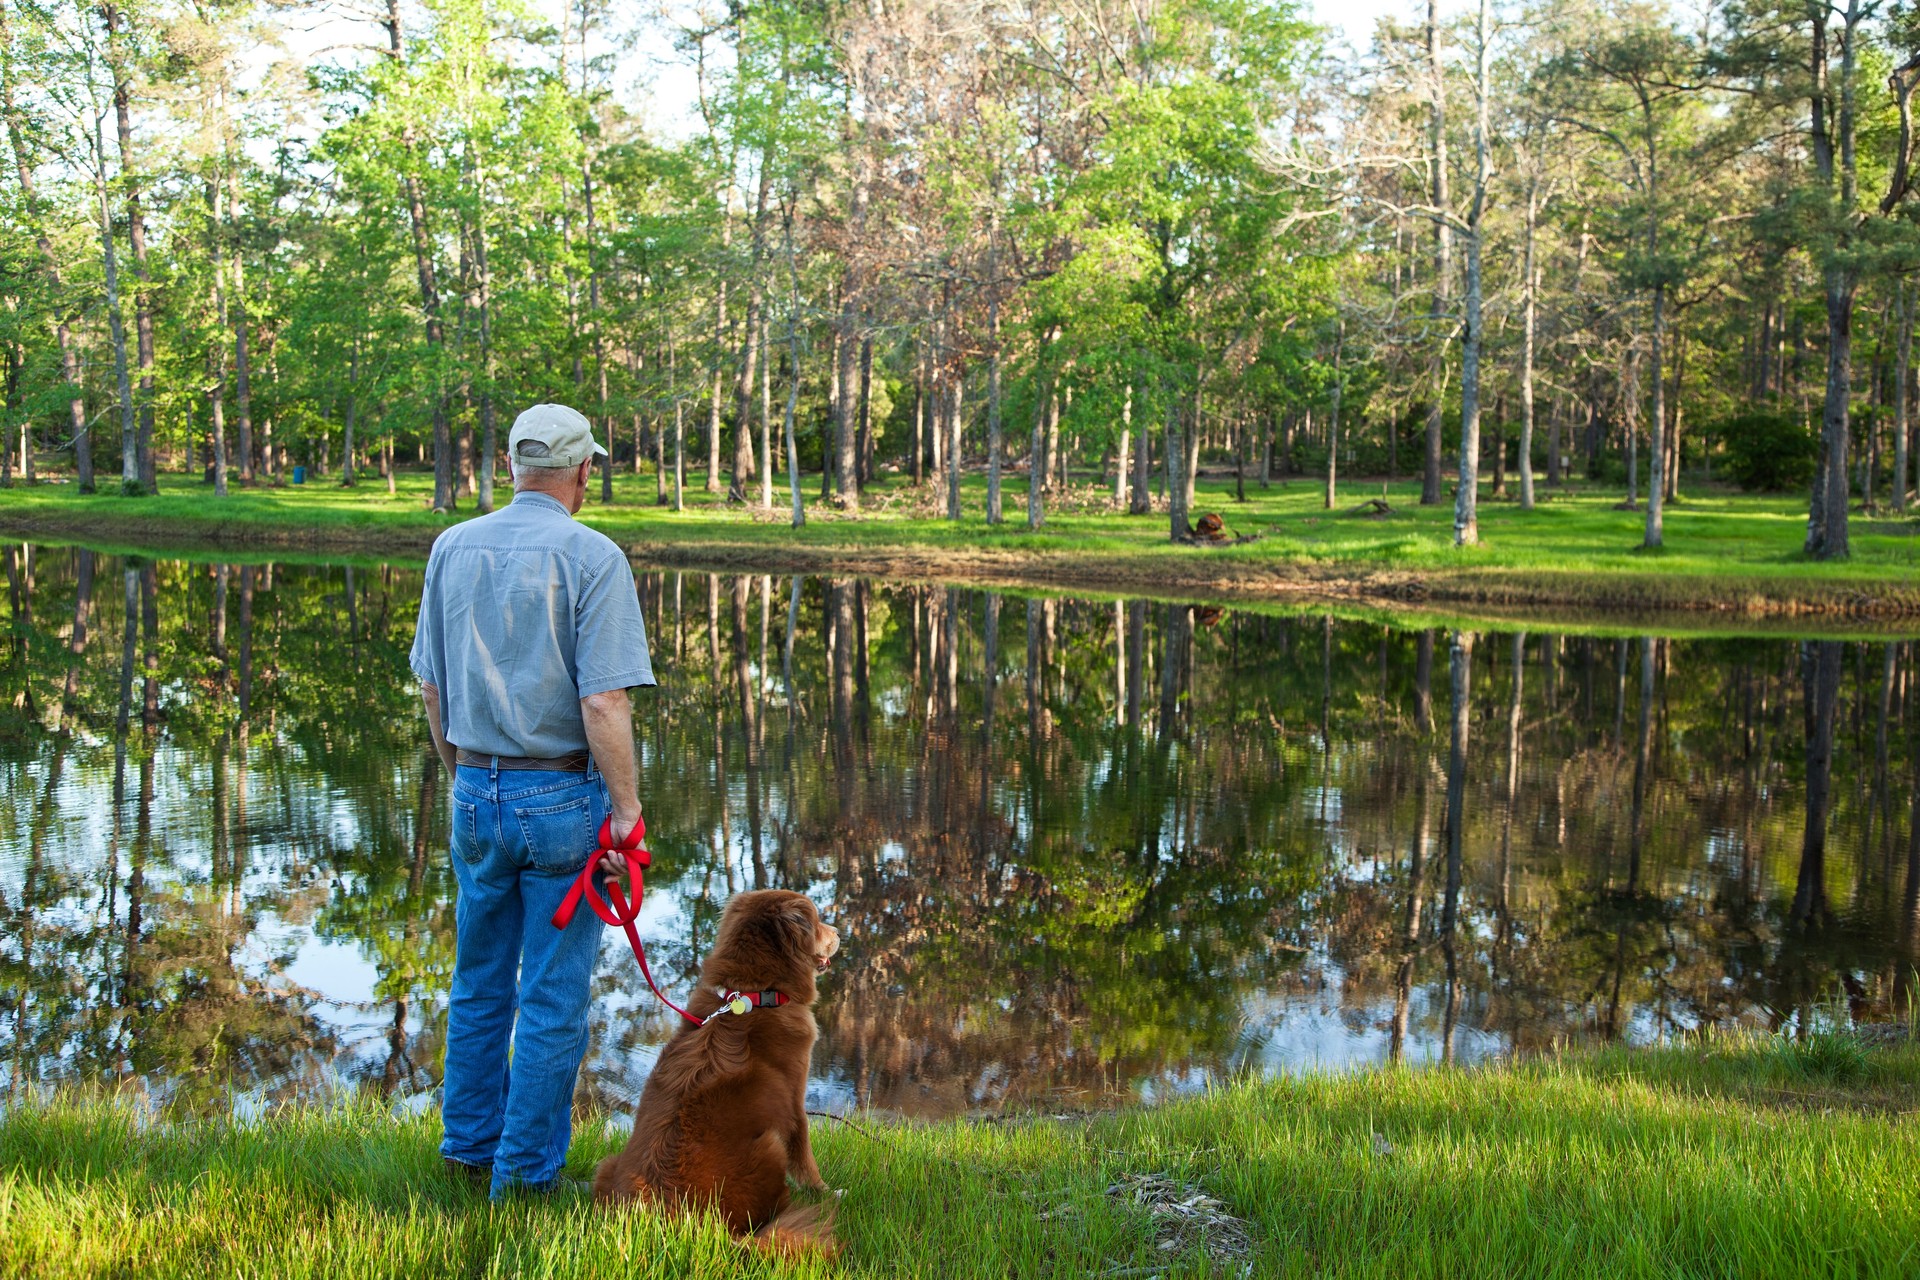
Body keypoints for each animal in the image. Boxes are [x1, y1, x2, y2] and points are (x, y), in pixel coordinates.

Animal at [595, 886, 844, 1258]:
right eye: (815, 922)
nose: (840, 933)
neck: (755, 995)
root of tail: (686, 1223)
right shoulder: (794, 1104)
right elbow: (806, 1156)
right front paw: (827, 1192)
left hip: (607, 1165)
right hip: (770, 1144)